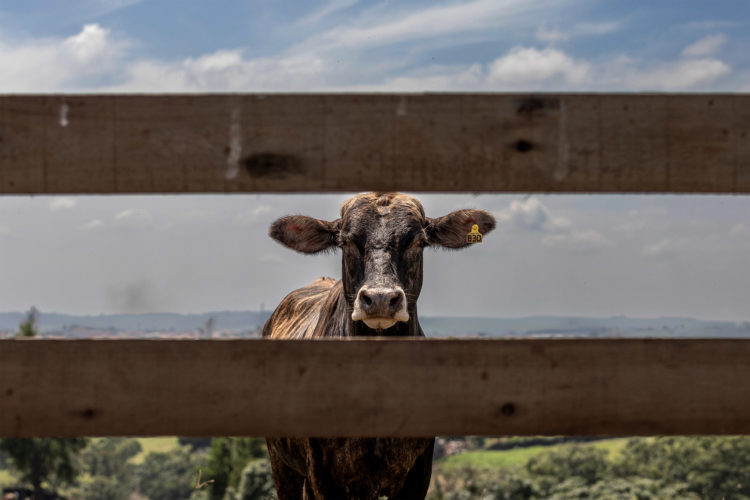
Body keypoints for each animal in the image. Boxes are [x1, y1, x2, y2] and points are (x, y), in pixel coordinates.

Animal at [263, 192, 496, 500]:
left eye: (417, 241)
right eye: (346, 241)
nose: (381, 299)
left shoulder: (418, 474)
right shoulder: (320, 477)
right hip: (282, 465)